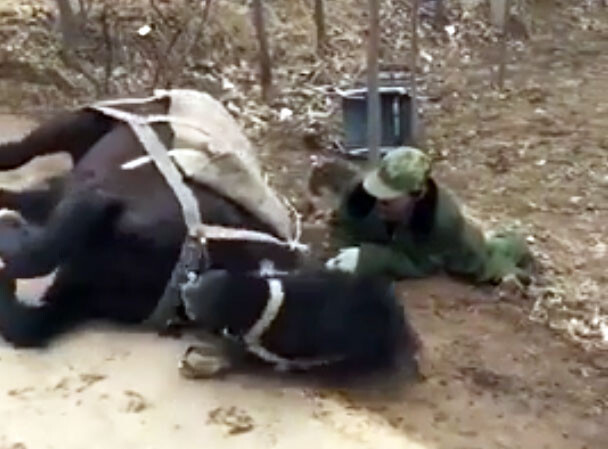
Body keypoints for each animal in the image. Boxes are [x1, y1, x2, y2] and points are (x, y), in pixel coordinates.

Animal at [0, 89, 420, 376]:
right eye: (317, 285)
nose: (205, 294)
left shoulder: (80, 291)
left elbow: (27, 326)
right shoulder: (97, 199)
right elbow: (39, 253)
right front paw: (9, 235)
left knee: (33, 197)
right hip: (73, 127)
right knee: (17, 156)